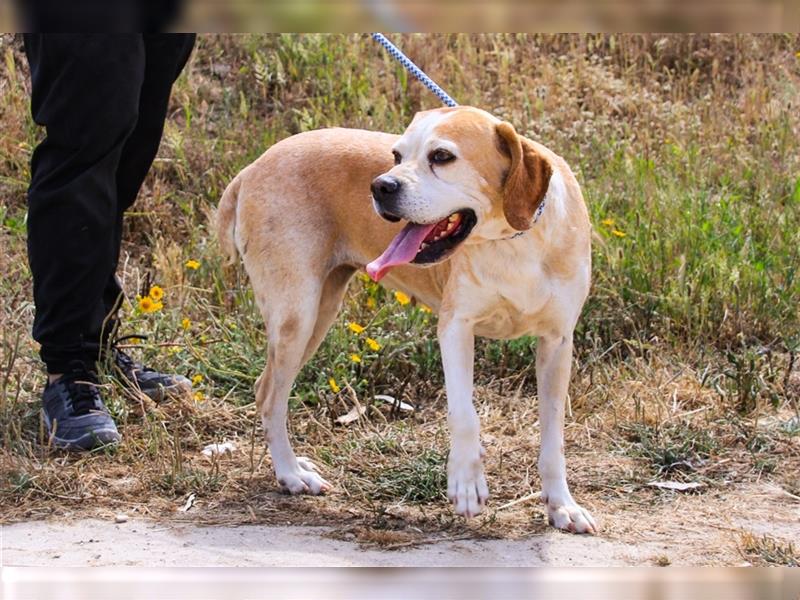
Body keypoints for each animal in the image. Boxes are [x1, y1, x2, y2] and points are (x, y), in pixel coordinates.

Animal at [216, 105, 596, 532]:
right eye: (396, 156)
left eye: (442, 156)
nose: (380, 186)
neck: (513, 241)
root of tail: (253, 167)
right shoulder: (455, 329)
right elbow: (464, 414)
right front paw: (466, 483)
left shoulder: (557, 342)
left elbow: (553, 436)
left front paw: (562, 506)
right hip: (298, 314)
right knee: (269, 395)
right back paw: (291, 474)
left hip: (321, 310)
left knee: (268, 390)